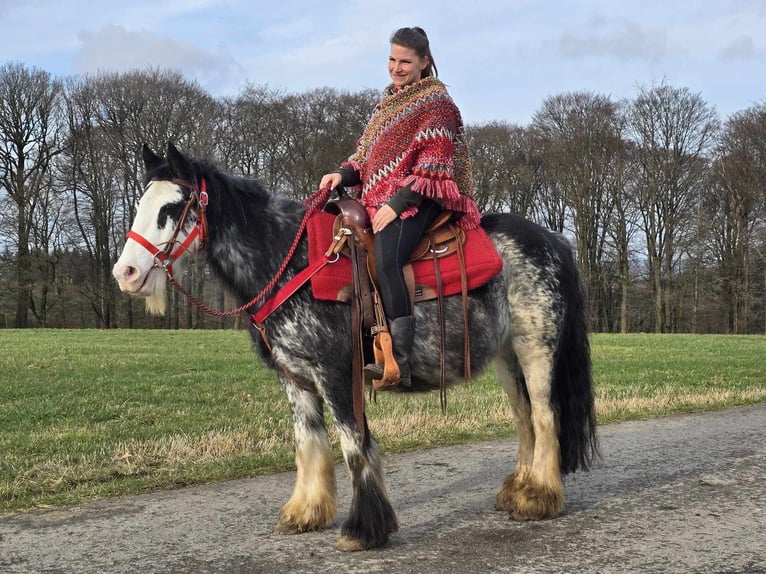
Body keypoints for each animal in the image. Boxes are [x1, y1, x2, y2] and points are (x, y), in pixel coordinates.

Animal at [112, 143, 600, 552]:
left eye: (173, 207)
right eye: (140, 204)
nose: (126, 273)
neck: (291, 264)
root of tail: (555, 241)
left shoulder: (335, 373)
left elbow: (353, 445)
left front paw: (364, 528)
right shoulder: (296, 379)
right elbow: (309, 443)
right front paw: (305, 512)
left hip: (536, 348)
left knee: (544, 415)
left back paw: (538, 497)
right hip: (505, 357)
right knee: (524, 419)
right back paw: (518, 490)